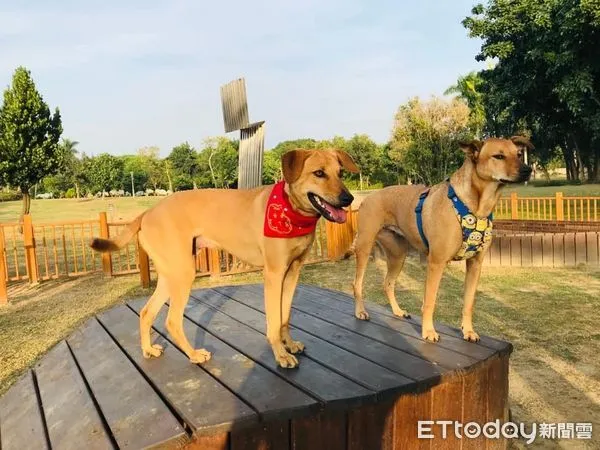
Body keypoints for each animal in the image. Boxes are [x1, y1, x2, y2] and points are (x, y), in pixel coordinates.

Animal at [91, 149, 358, 368]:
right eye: (319, 173)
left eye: (340, 172)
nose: (349, 199)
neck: (292, 209)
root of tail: (147, 212)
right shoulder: (274, 274)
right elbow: (273, 320)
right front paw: (280, 355)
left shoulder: (293, 271)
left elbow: (285, 316)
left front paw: (289, 345)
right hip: (183, 274)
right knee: (172, 321)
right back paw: (194, 354)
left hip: (171, 274)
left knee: (147, 312)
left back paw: (148, 349)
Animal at [346, 135, 536, 342]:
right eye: (499, 156)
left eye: (519, 154)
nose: (528, 170)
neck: (476, 207)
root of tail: (367, 198)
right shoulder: (436, 263)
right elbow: (430, 300)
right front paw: (428, 331)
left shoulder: (475, 264)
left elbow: (469, 303)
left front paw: (468, 331)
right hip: (365, 248)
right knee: (357, 283)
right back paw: (360, 312)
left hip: (398, 256)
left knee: (388, 284)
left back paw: (398, 311)